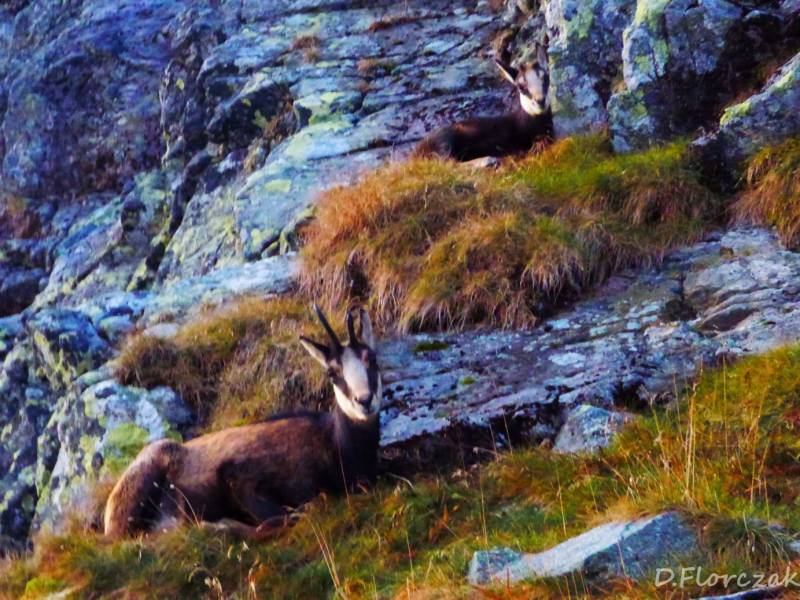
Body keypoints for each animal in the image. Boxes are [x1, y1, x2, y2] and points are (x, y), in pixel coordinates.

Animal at [104, 305, 382, 540]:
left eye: (372, 359)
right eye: (332, 373)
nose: (364, 401)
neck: (334, 445)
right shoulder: (238, 477)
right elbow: (286, 517)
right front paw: (220, 525)